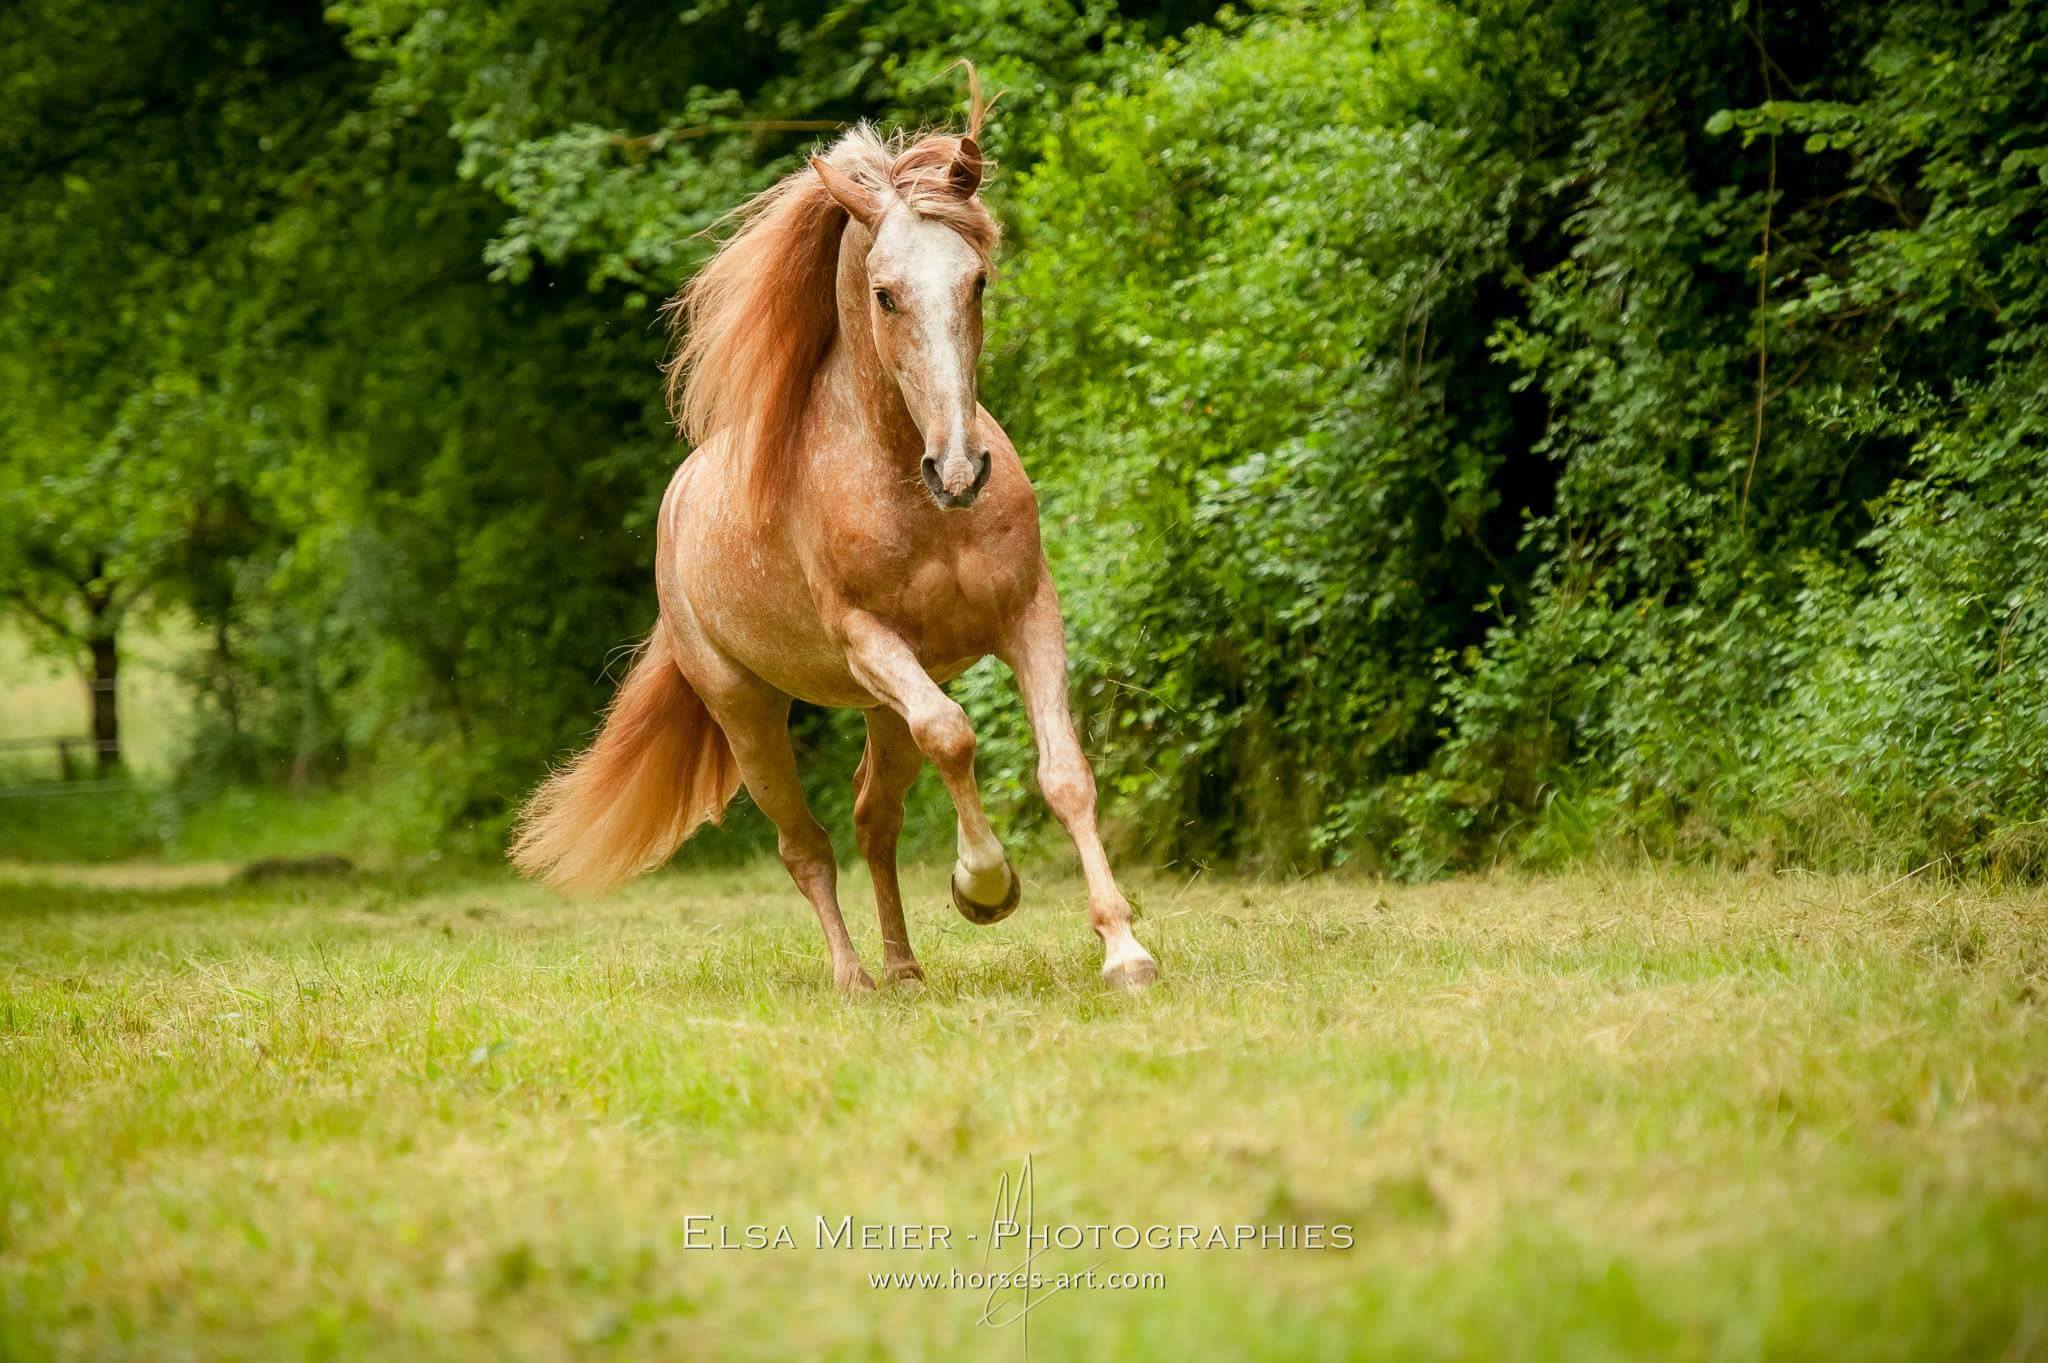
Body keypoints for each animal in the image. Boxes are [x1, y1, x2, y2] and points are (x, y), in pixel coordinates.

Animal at [505, 87, 1163, 998]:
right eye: (885, 294)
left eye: (977, 280)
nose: (959, 470)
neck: (914, 497)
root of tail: (676, 508)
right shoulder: (867, 641)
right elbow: (956, 734)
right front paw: (985, 886)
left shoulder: (1030, 618)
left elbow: (1064, 775)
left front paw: (1124, 950)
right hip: (749, 713)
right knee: (806, 842)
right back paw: (855, 977)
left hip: (882, 709)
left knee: (872, 817)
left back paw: (906, 967)